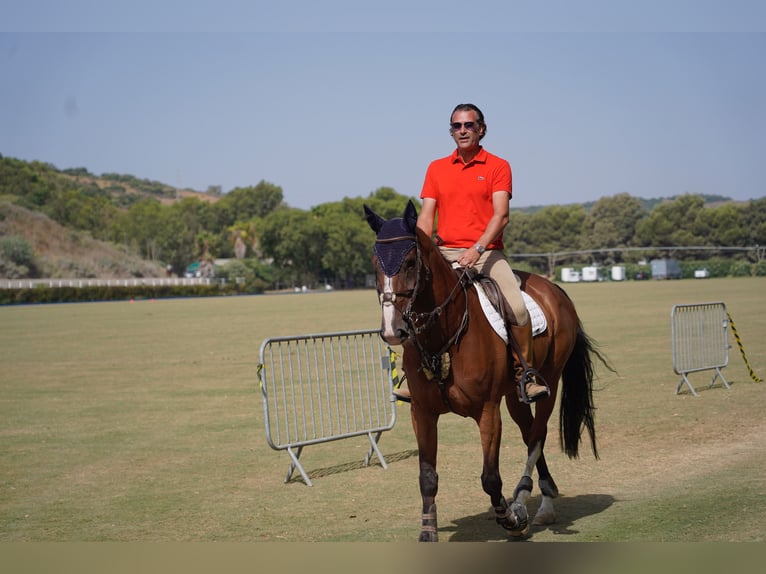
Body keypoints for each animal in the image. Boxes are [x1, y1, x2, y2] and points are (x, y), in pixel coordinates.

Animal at [364, 200, 608, 542]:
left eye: (410, 263)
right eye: (375, 263)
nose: (392, 329)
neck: (444, 335)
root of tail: (554, 289)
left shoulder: (487, 412)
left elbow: (490, 477)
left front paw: (511, 519)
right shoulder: (422, 412)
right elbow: (427, 476)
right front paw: (428, 531)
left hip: (549, 380)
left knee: (537, 435)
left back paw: (527, 502)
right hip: (514, 396)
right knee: (529, 431)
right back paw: (541, 498)